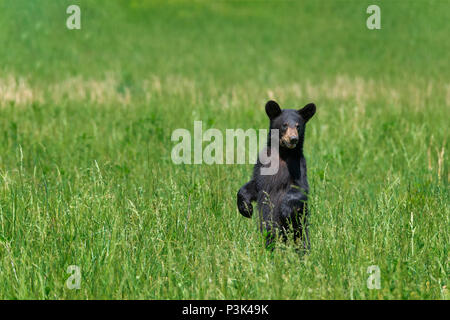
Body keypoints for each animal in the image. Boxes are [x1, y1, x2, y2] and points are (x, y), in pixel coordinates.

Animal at [236, 100, 316, 250]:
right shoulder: (261, 166)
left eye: (298, 126)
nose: (293, 139)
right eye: (284, 125)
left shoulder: (299, 167)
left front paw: (285, 210)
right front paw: (245, 208)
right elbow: (253, 186)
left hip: (300, 231)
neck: (283, 154)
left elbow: (300, 189)